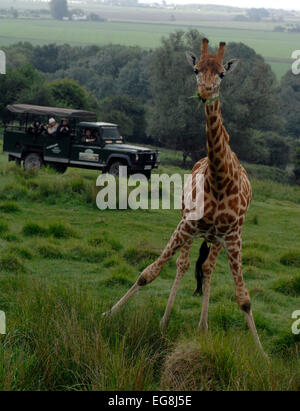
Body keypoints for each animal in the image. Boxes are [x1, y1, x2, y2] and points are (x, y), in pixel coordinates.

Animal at [104, 38, 266, 358]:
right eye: (195, 69)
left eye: (222, 74)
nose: (204, 92)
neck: (220, 179)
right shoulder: (186, 225)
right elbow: (148, 273)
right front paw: (110, 313)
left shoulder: (234, 236)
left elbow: (244, 299)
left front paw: (263, 356)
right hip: (191, 230)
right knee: (182, 265)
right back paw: (166, 321)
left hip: (216, 239)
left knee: (207, 268)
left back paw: (203, 327)